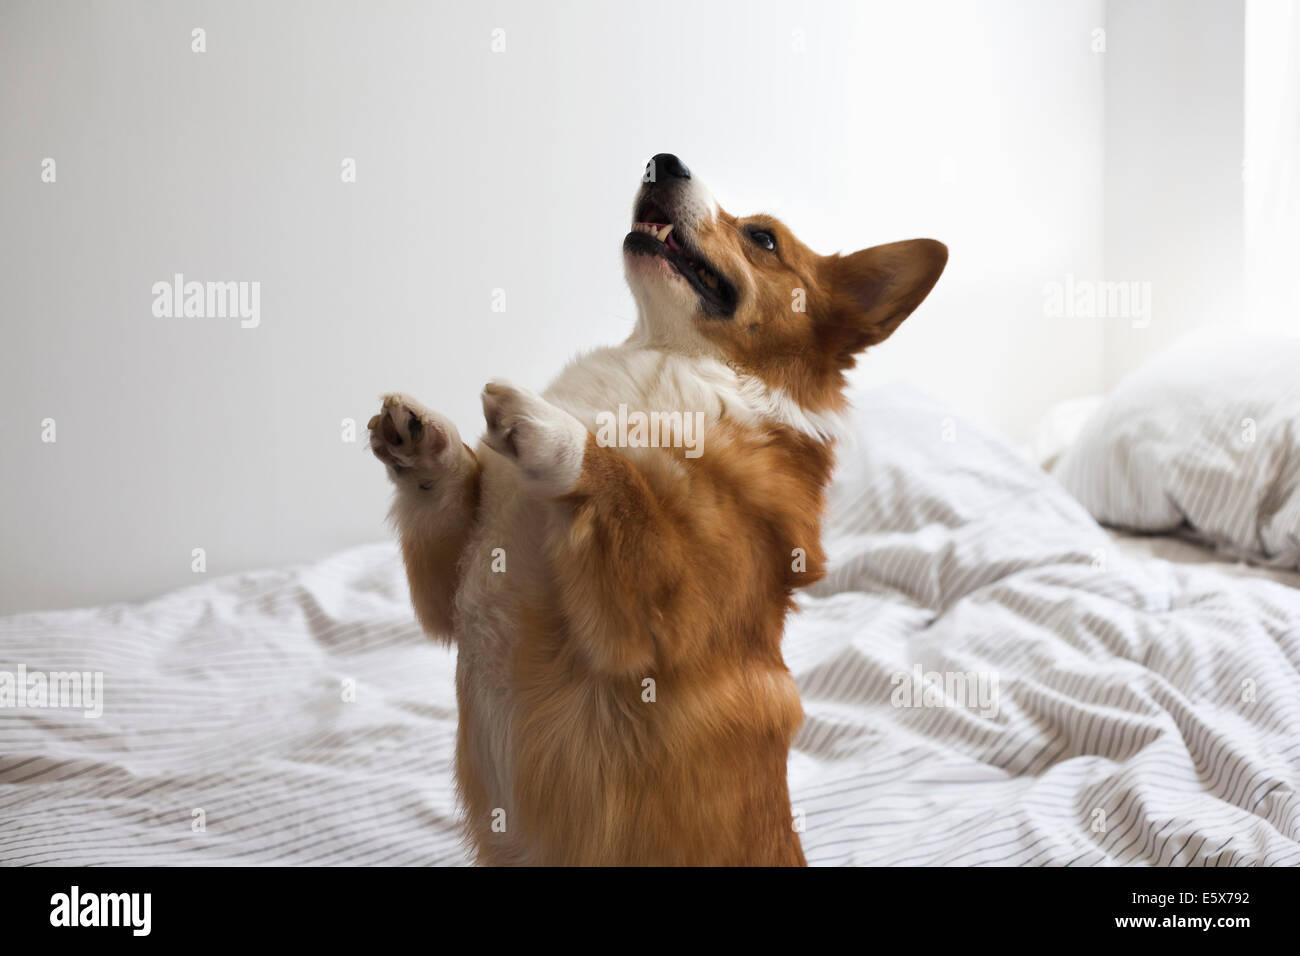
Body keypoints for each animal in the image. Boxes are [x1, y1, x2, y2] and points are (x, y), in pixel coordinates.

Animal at [369, 153, 946, 863]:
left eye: (763, 239)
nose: (662, 160)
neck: (674, 359)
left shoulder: (657, 617)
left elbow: (619, 482)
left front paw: (550, 426)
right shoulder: (450, 594)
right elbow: (450, 489)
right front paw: (426, 444)